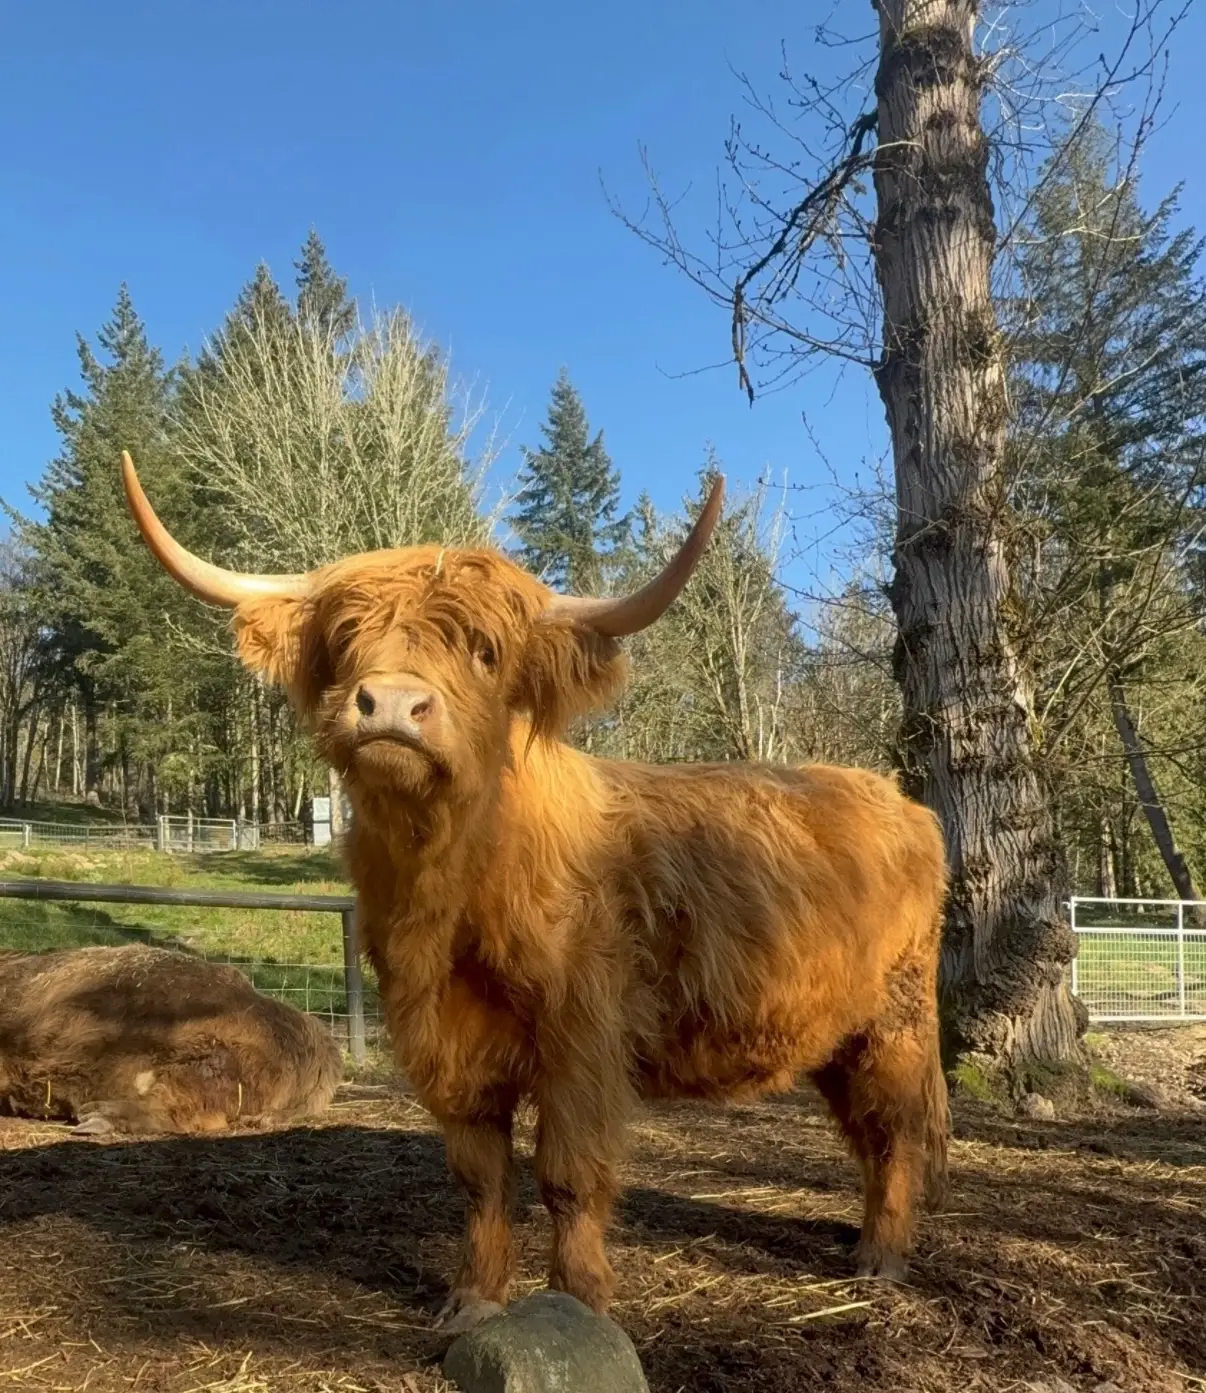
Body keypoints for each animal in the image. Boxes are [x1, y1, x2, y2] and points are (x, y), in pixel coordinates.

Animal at [121, 450, 949, 1332]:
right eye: (344, 641)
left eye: (484, 652)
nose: (391, 704)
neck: (450, 891)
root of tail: (899, 799)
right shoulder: (444, 1043)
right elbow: (481, 1178)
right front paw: (472, 1298)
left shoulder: (582, 1037)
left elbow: (568, 1175)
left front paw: (578, 1299)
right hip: (833, 1028)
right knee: (866, 1131)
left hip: (895, 1020)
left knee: (896, 1130)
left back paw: (882, 1257)